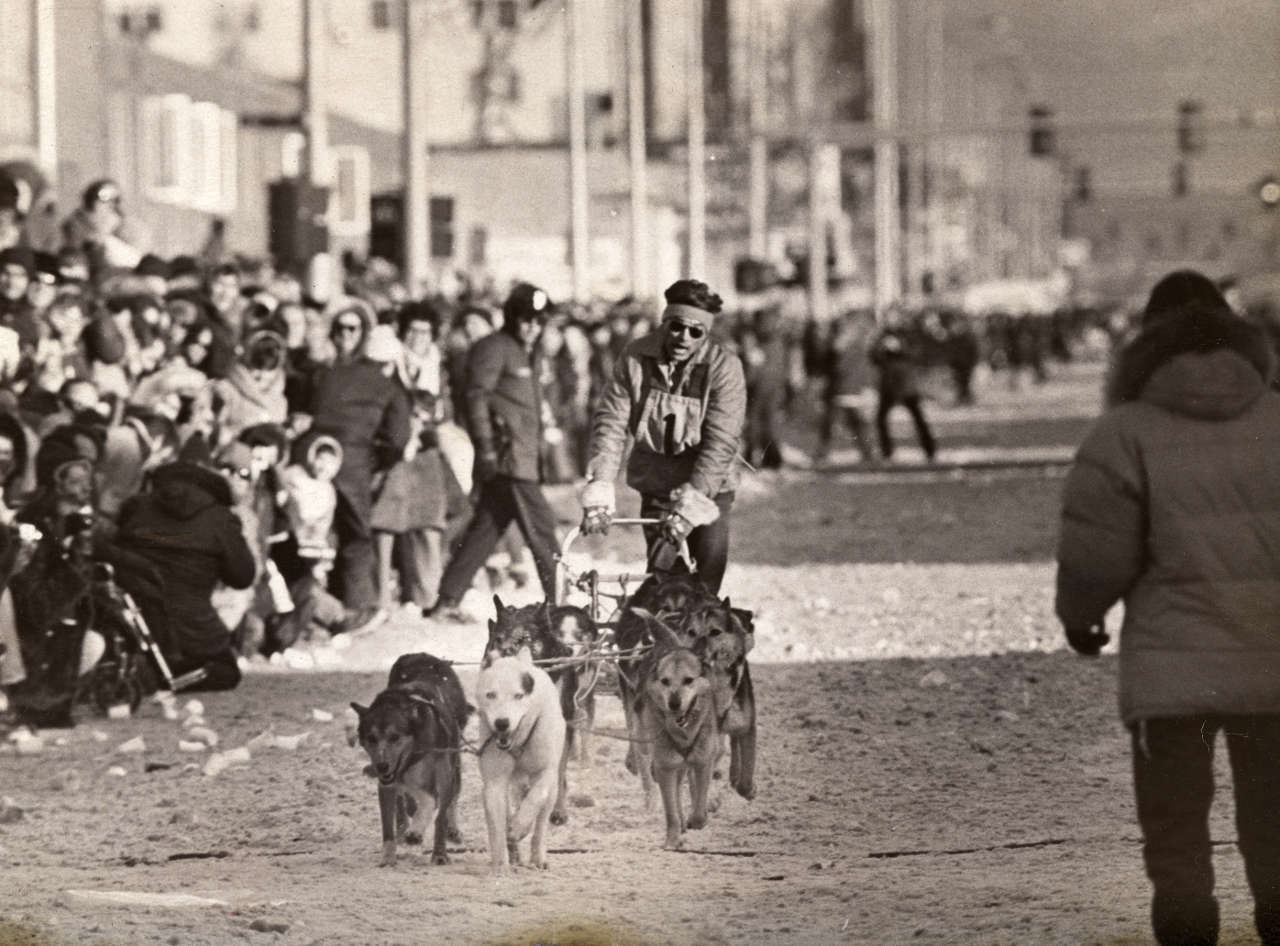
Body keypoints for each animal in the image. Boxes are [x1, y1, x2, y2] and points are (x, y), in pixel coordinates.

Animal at [350, 655, 471, 870]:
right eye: (371, 738)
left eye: (395, 737)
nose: (381, 766)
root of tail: (423, 655)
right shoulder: (387, 784)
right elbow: (388, 826)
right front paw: (389, 856)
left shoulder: (443, 777)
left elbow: (438, 814)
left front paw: (439, 853)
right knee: (404, 803)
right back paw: (405, 828)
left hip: (453, 769)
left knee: (448, 801)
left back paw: (448, 831)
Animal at [476, 642, 565, 875]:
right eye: (491, 695)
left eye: (518, 696)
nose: (502, 723)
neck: (518, 742)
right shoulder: (495, 783)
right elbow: (498, 827)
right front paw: (501, 865)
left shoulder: (546, 772)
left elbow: (535, 798)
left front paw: (520, 826)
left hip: (551, 791)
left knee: (540, 824)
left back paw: (537, 856)